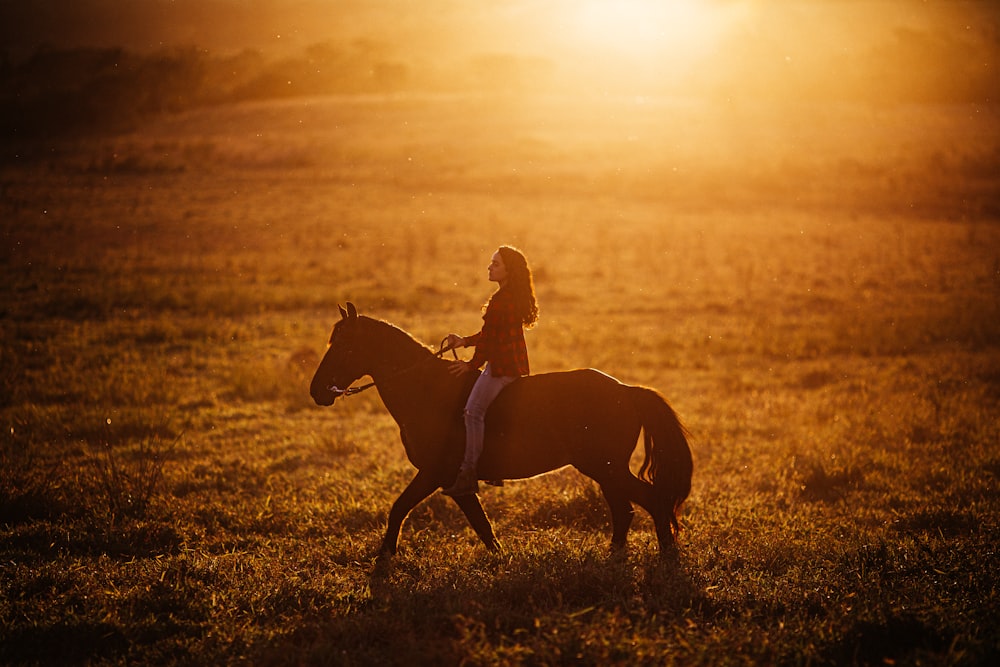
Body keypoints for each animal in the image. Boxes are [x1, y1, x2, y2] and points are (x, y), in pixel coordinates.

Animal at [308, 304, 692, 560]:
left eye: (344, 346)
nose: (317, 391)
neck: (427, 390)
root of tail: (626, 390)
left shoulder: (434, 473)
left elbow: (400, 508)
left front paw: (384, 559)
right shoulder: (453, 481)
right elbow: (481, 525)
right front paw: (499, 560)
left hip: (606, 467)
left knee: (651, 502)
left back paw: (666, 558)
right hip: (605, 470)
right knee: (625, 510)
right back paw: (614, 557)